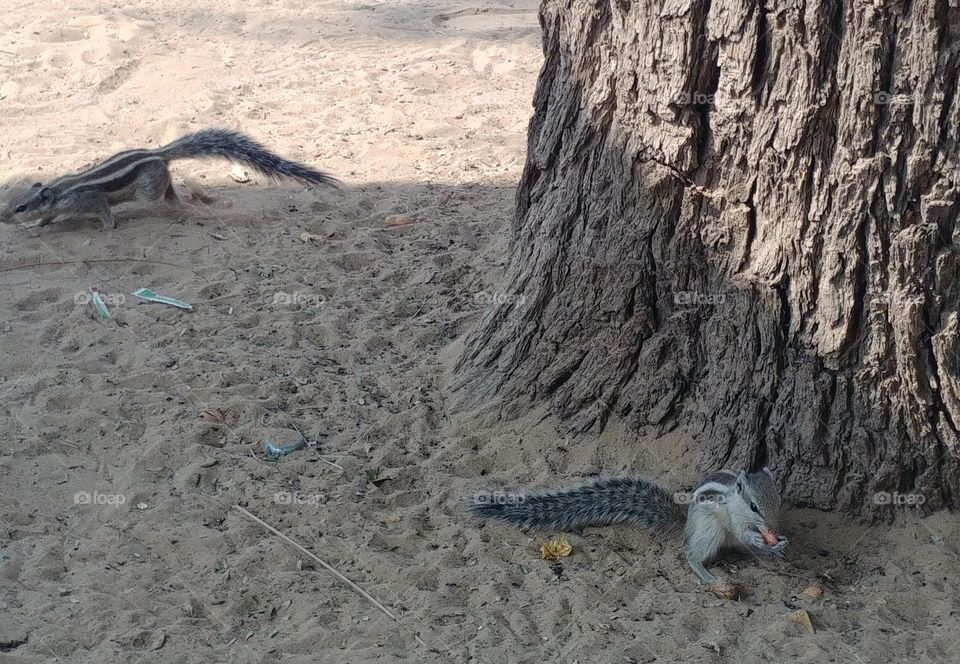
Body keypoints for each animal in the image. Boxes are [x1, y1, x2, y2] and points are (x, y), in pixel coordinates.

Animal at [0, 128, 339, 229]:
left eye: (19, 207)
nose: (5, 217)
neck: (59, 191)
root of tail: (159, 153)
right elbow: (47, 219)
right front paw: (34, 226)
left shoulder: (87, 198)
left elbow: (103, 209)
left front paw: (107, 226)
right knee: (170, 187)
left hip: (146, 189)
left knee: (159, 191)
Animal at [468, 468, 788, 586]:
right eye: (754, 506)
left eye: (778, 500)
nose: (774, 528)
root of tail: (686, 525)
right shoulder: (732, 518)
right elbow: (742, 531)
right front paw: (761, 539)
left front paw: (778, 541)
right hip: (708, 531)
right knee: (691, 553)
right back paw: (706, 573)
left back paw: (771, 552)